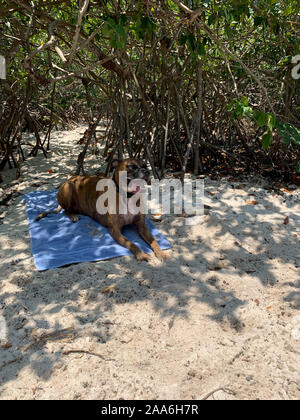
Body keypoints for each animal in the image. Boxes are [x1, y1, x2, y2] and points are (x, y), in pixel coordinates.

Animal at [35, 159, 169, 260]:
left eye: (145, 165)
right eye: (132, 167)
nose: (146, 171)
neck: (127, 196)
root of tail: (68, 179)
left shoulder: (142, 227)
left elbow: (153, 241)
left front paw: (161, 253)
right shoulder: (115, 231)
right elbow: (131, 243)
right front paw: (141, 254)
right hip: (69, 188)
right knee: (66, 210)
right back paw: (73, 216)